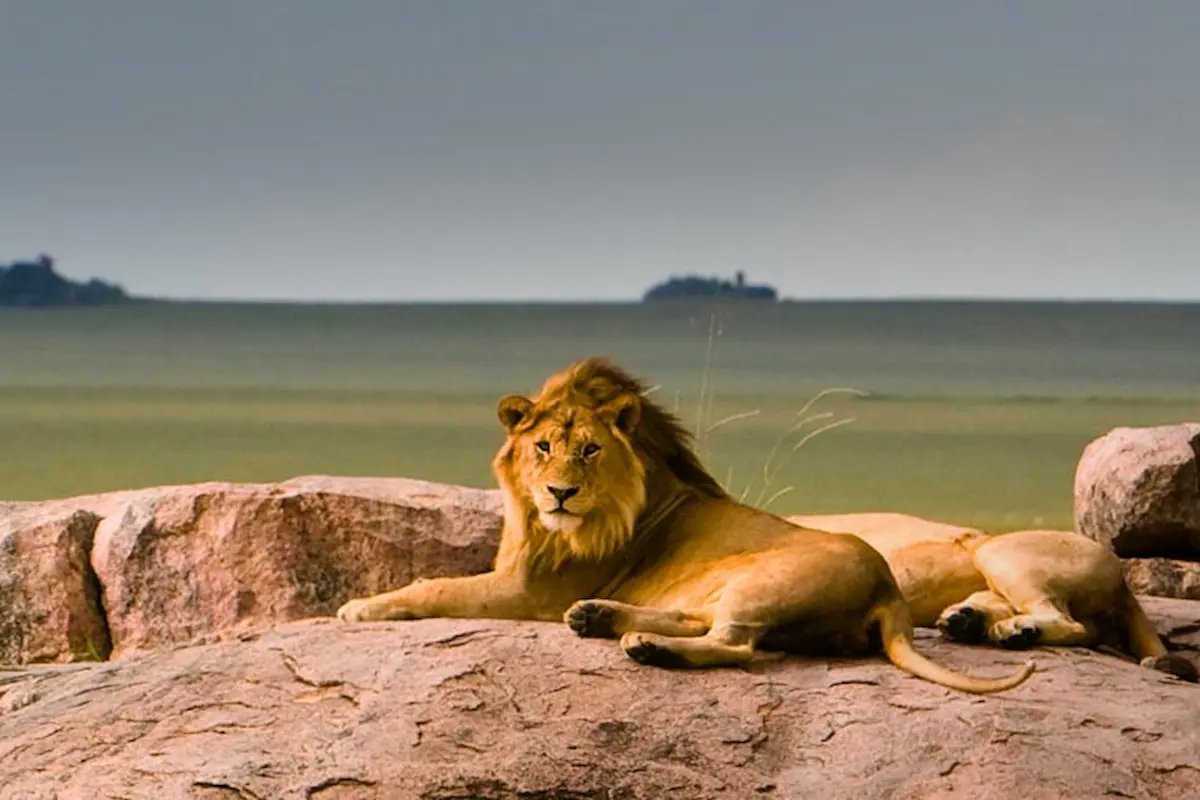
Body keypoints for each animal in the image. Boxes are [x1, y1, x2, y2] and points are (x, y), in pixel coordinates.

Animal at [338, 357, 1032, 695]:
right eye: (543, 447)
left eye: (589, 450)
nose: (560, 492)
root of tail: (889, 592)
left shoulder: (528, 591)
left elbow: (435, 585)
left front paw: (359, 607)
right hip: (731, 585)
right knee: (705, 622)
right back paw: (600, 618)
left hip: (765, 580)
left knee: (737, 644)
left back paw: (646, 647)